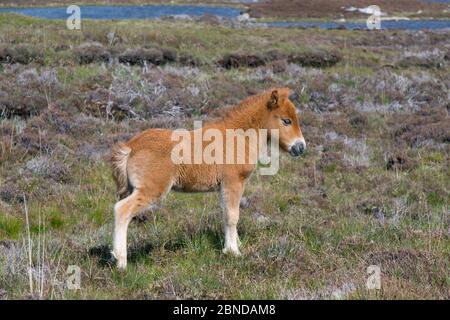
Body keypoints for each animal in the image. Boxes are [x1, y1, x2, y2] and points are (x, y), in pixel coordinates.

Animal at [109, 88, 306, 270]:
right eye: (286, 120)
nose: (300, 147)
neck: (238, 136)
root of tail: (131, 146)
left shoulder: (224, 187)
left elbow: (226, 213)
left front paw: (235, 244)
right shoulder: (233, 182)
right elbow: (232, 215)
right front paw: (233, 252)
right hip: (151, 189)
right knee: (121, 210)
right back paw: (121, 262)